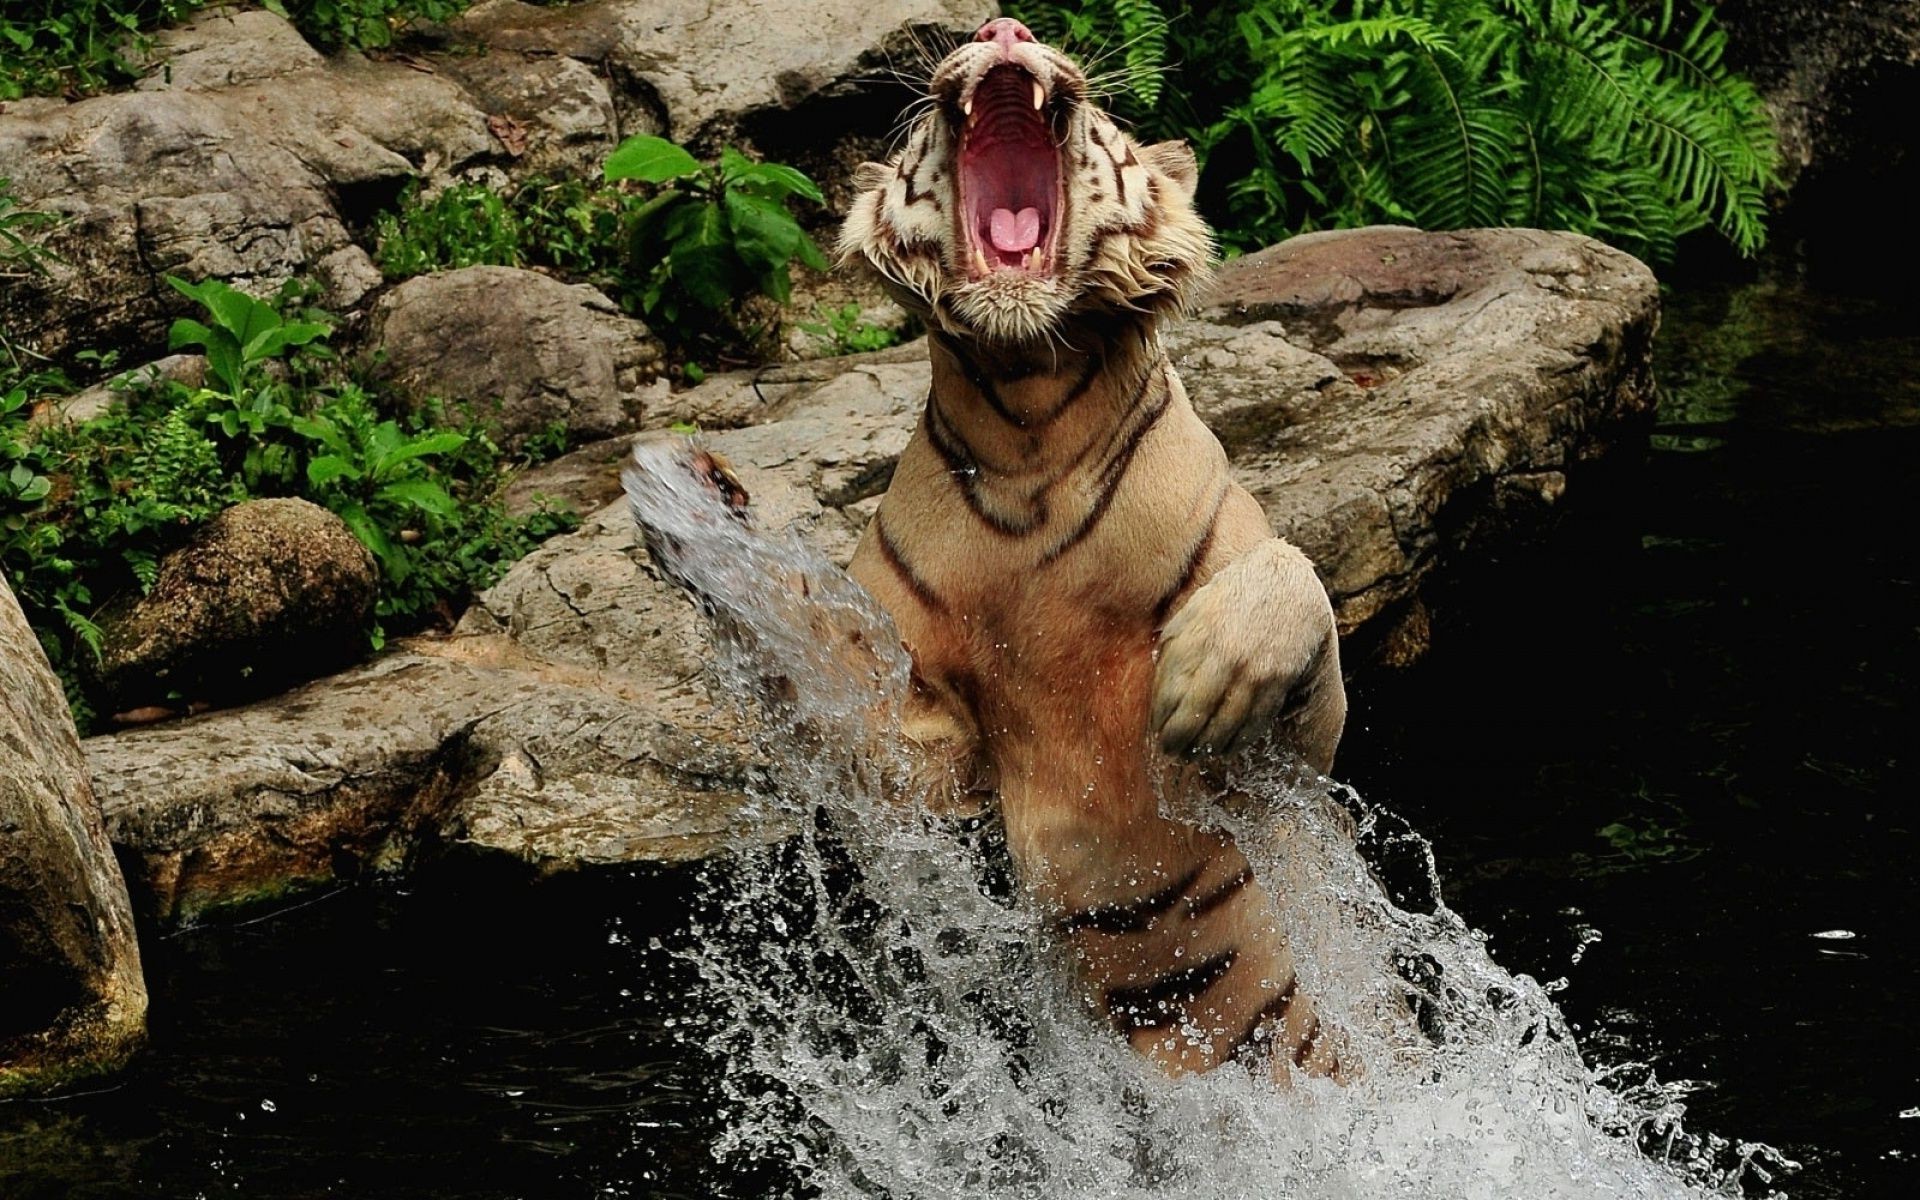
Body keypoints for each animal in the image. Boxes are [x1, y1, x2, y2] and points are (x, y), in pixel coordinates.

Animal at [633, 18, 1351, 1082]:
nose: (1000, 29)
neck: (1029, 428)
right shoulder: (921, 760)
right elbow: (817, 658)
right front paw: (692, 504)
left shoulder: (1294, 767)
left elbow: (1296, 584)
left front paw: (1203, 682)